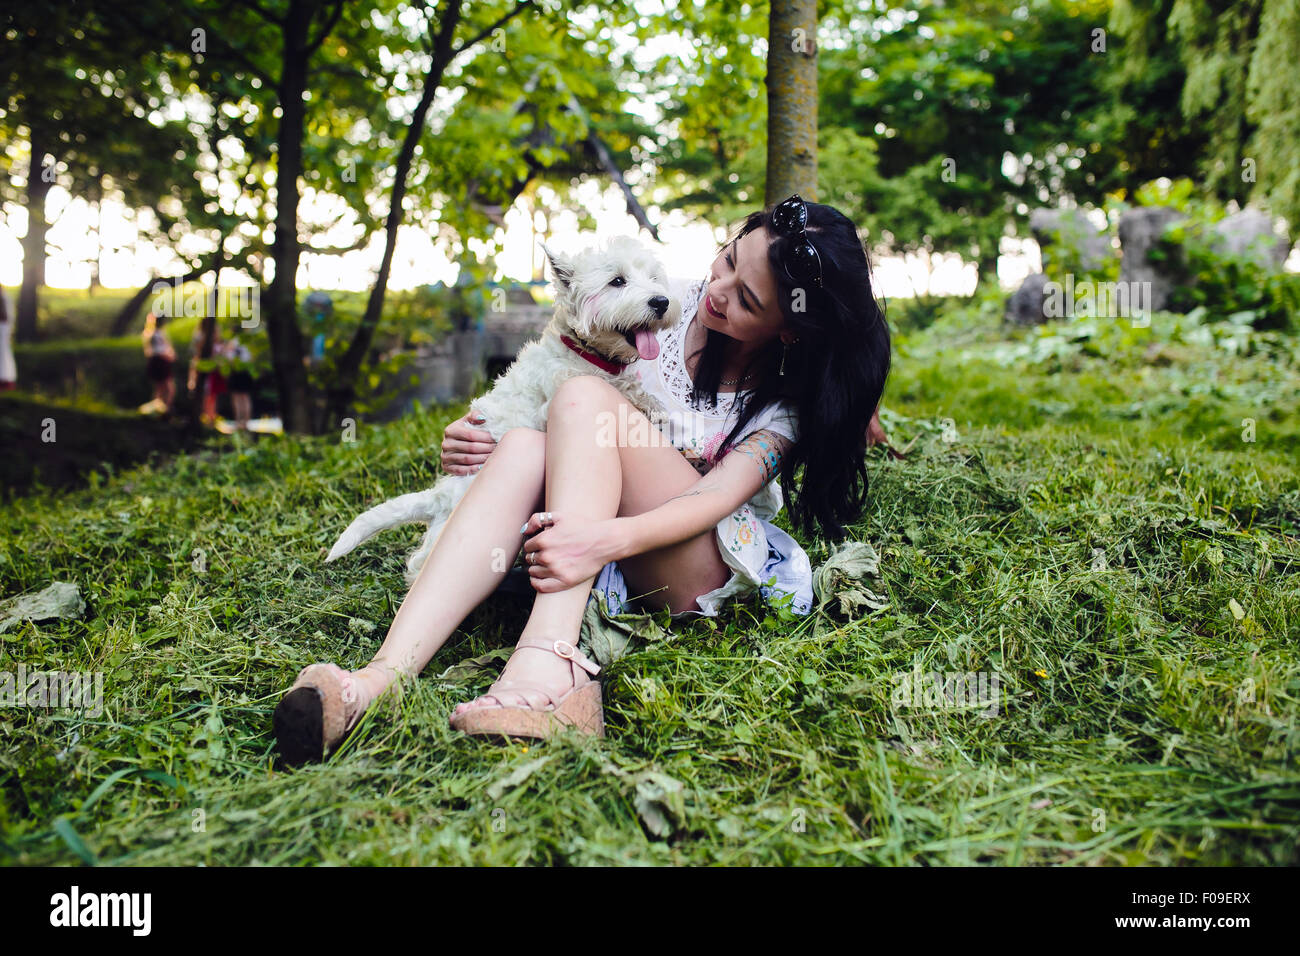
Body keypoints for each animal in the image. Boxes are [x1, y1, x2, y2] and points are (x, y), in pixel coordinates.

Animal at [325, 235, 681, 587]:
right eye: (617, 281)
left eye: (653, 277)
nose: (661, 302)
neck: (584, 352)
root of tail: (440, 497)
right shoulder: (558, 394)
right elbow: (609, 387)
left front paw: (654, 406)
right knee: (420, 565)